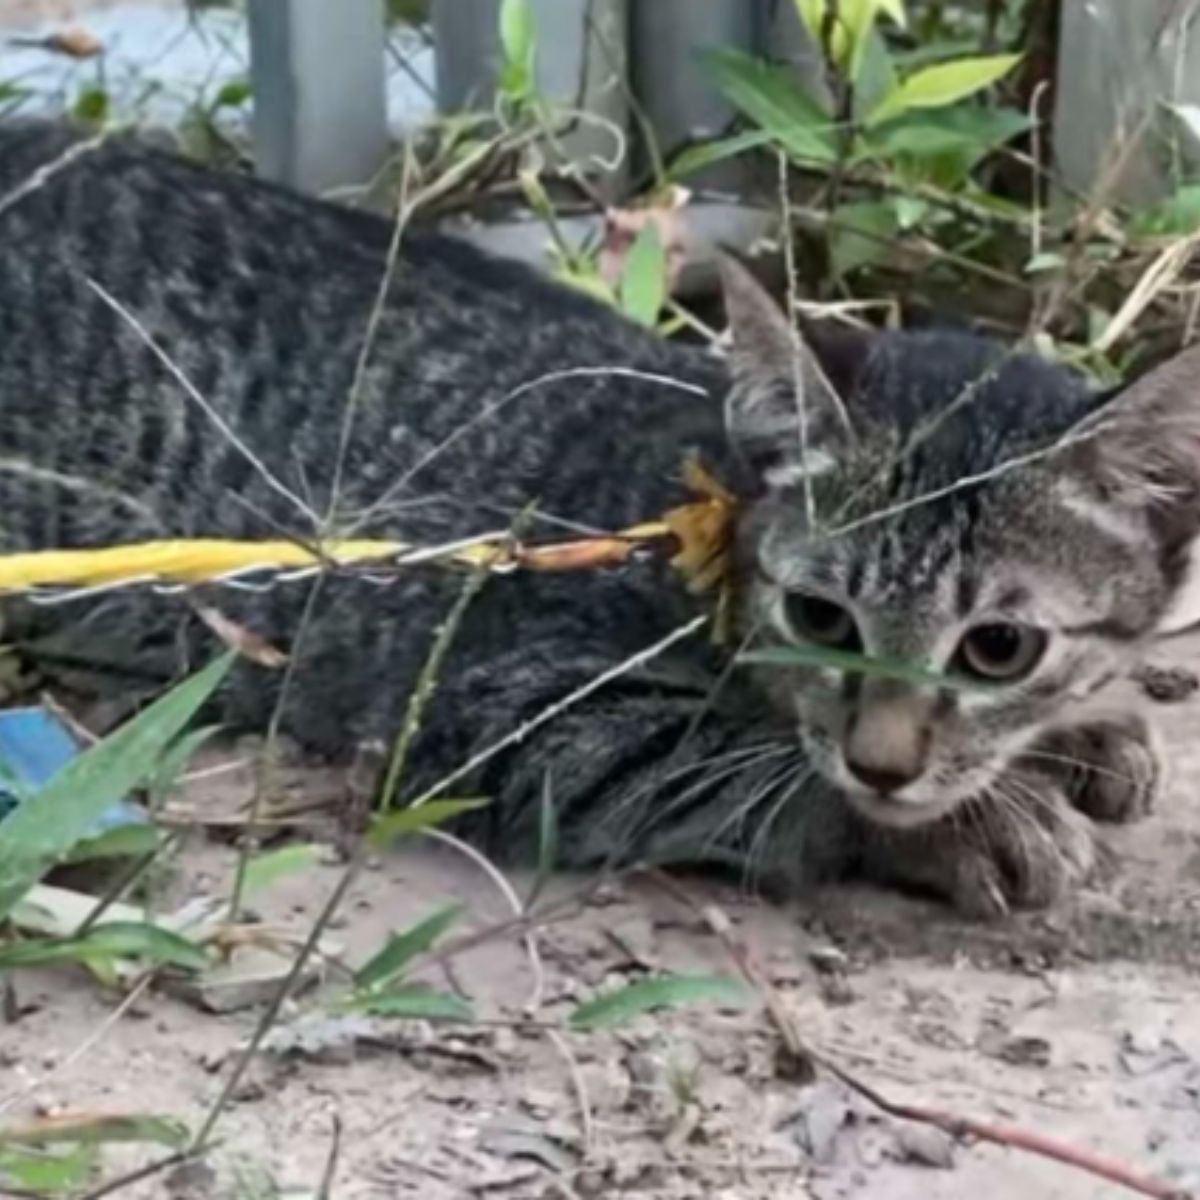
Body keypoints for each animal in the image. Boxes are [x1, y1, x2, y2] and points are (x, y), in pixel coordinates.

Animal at [2, 117, 1200, 912]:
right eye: (822, 619)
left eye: (997, 647)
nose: (884, 763)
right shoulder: (513, 711)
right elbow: (753, 779)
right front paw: (971, 822)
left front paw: (1081, 725)